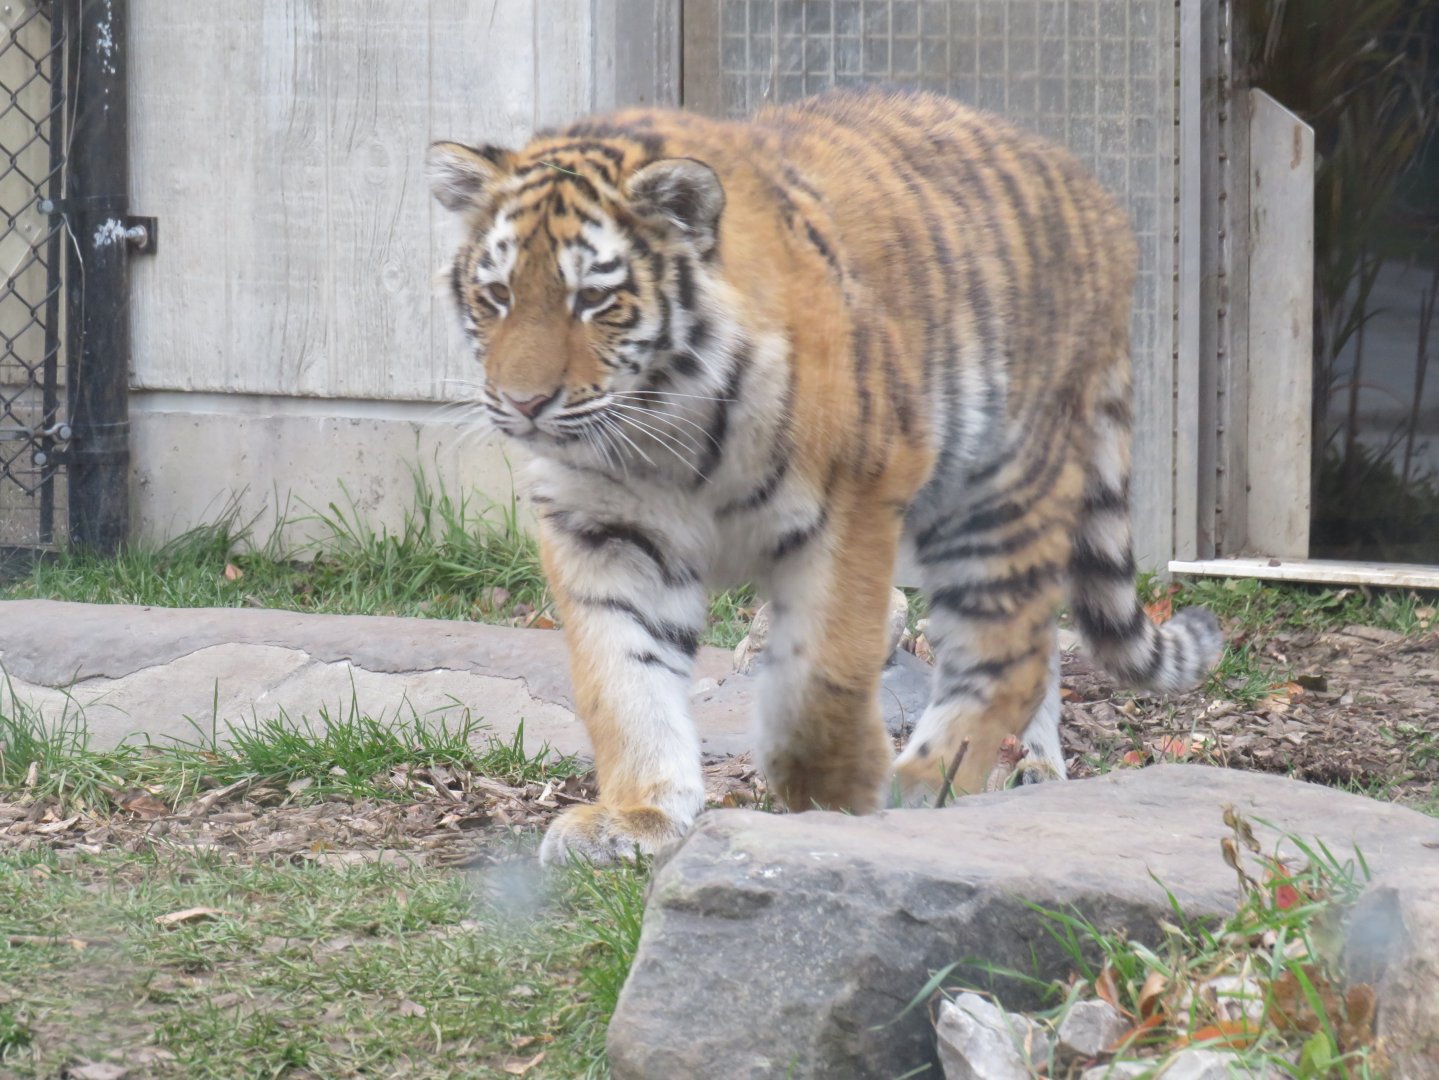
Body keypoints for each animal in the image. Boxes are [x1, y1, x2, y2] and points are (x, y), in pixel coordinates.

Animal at [427, 87, 1223, 866]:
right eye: (497, 296)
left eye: (593, 300)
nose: (524, 403)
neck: (664, 431)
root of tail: (1101, 202)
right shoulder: (603, 530)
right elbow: (622, 681)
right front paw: (636, 815)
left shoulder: (855, 500)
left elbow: (823, 674)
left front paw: (839, 794)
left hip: (999, 490)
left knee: (1013, 653)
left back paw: (926, 782)